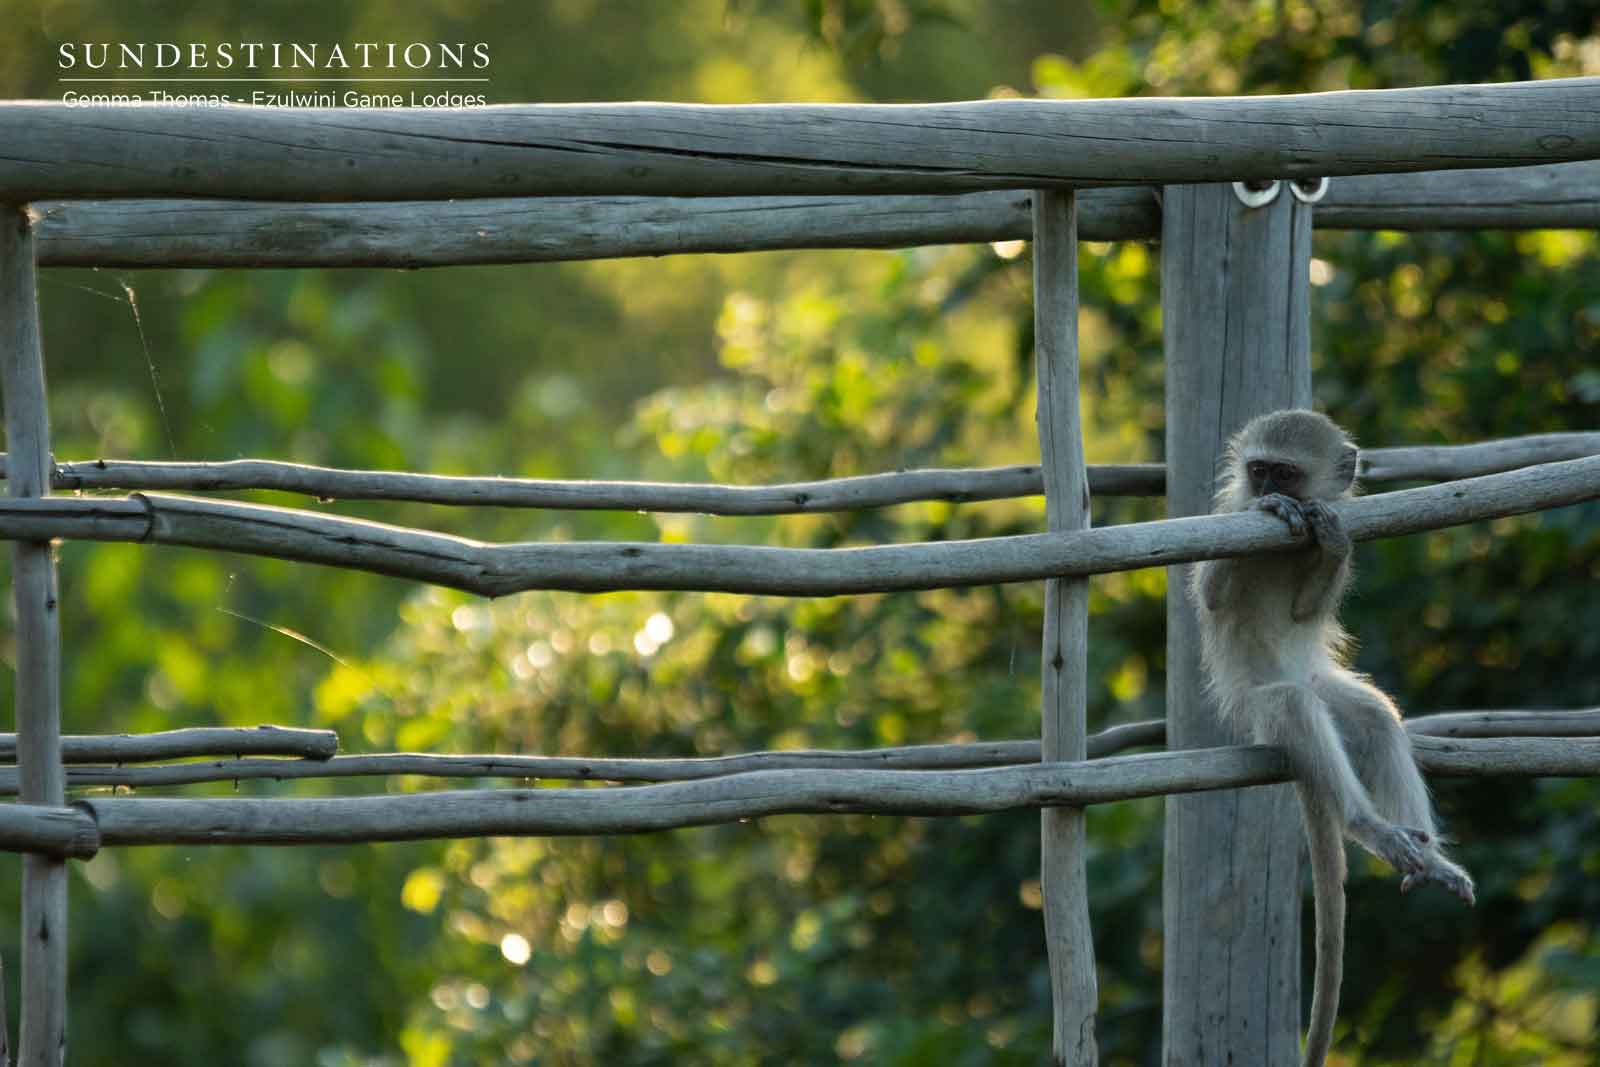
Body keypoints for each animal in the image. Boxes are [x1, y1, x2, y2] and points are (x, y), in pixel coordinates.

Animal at [1187, 409, 1474, 1067]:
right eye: (1260, 470)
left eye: (1287, 472)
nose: (1273, 491)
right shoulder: (1225, 515)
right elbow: (1212, 593)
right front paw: (1266, 513)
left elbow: (1304, 608)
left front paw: (1333, 543)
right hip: (1259, 707)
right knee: (1295, 708)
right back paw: (1367, 825)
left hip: (1321, 683)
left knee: (1375, 717)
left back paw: (1426, 855)